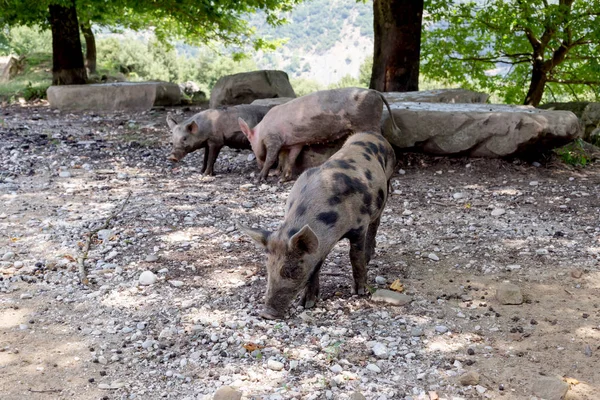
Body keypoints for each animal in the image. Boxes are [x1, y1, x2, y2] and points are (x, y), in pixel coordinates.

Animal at [237, 131, 396, 318]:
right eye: (268, 268)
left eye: (292, 270)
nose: (266, 313)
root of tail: (371, 133)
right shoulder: (319, 248)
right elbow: (315, 268)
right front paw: (307, 304)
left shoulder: (359, 227)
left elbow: (355, 257)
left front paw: (360, 291)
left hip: (387, 181)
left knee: (376, 223)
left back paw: (369, 256)